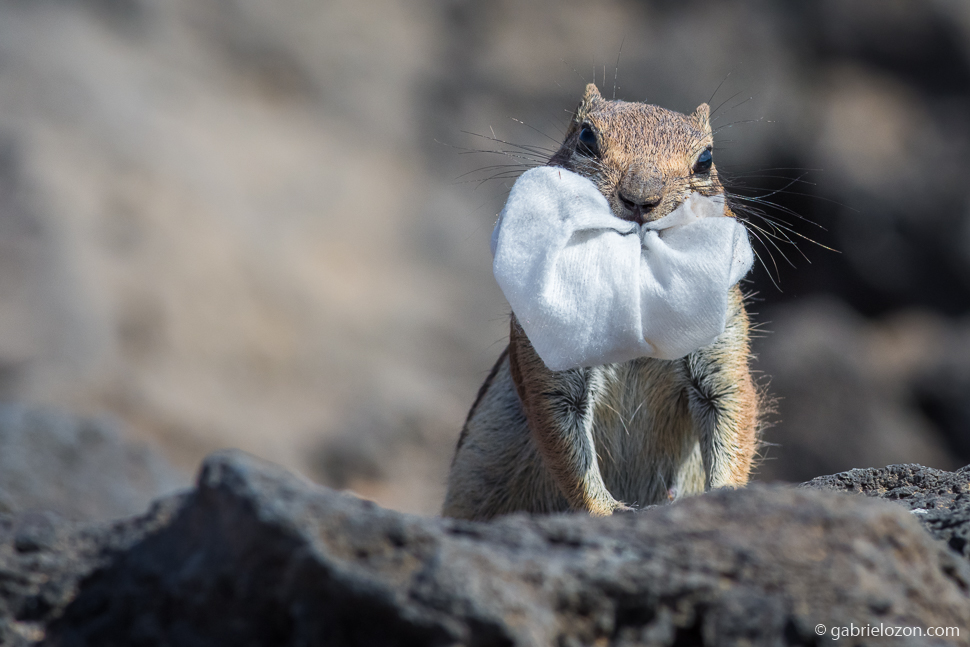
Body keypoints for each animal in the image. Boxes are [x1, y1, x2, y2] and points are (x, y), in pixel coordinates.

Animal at [440, 85, 764, 520]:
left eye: (705, 160)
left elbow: (733, 409)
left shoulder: (720, 349)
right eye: (587, 138)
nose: (641, 199)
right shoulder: (551, 367)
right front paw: (607, 509)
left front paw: (725, 493)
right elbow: (565, 444)